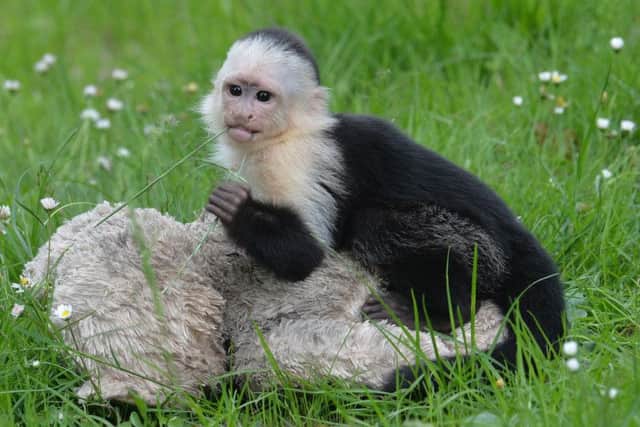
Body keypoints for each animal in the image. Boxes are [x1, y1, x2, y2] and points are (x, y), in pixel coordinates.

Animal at [200, 28, 566, 384]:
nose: (242, 112)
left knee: (375, 224)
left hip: (481, 249)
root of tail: (514, 234)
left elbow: (305, 257)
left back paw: (441, 313)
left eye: (263, 97)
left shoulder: (295, 161)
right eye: (235, 90)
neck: (288, 133)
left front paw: (236, 210)